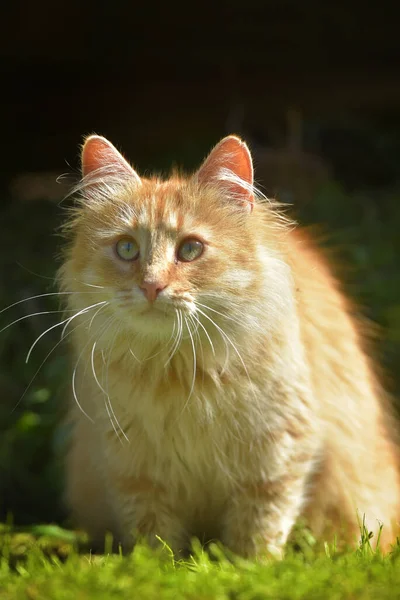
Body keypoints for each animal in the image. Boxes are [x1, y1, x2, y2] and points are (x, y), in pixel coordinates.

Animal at [60, 134, 400, 556]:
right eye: (126, 249)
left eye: (190, 249)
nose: (152, 286)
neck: (178, 371)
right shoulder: (133, 464)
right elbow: (154, 537)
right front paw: (159, 566)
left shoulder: (278, 451)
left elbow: (258, 529)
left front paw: (250, 566)